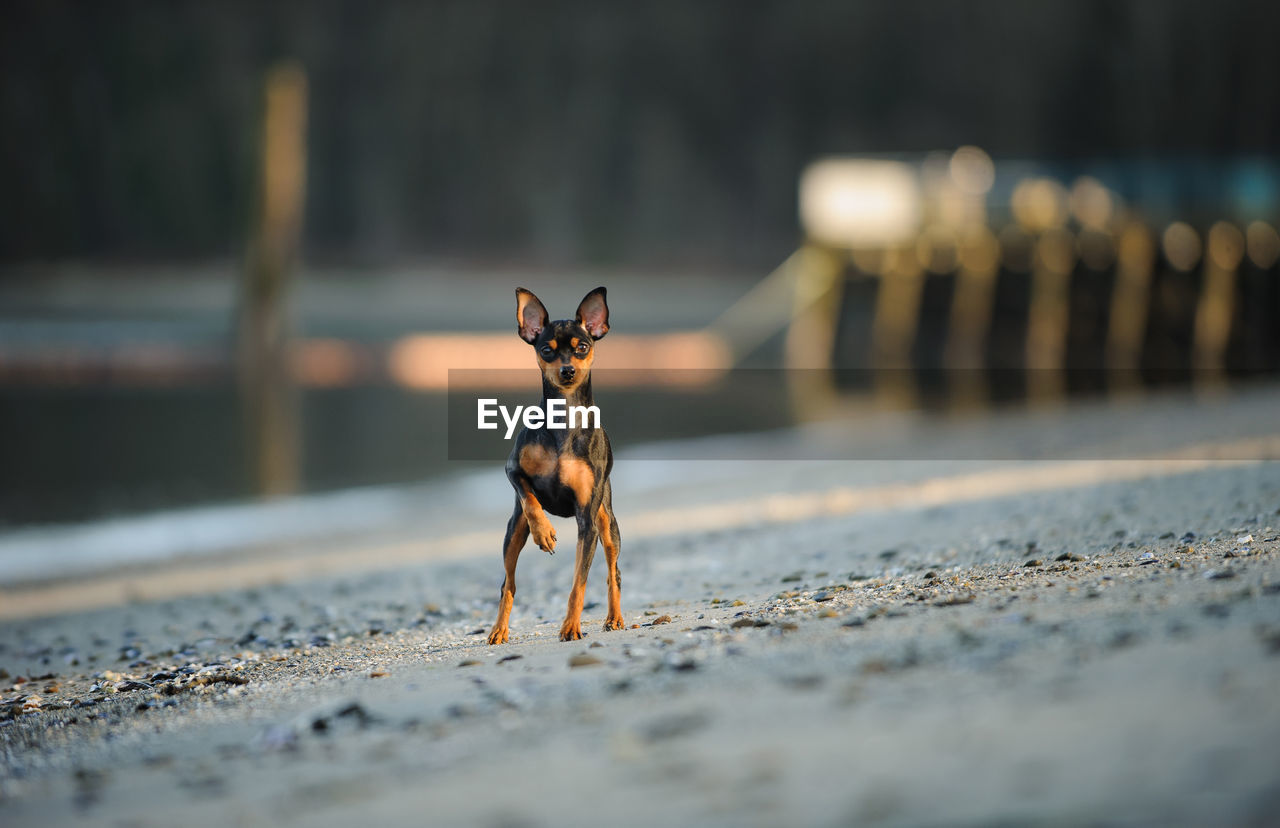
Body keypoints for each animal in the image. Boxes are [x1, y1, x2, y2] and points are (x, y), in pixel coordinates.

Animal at [483, 287, 624, 644]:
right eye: (546, 350)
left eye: (582, 347)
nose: (568, 371)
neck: (564, 418)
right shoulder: (513, 471)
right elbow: (531, 500)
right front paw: (544, 532)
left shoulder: (587, 521)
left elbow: (578, 584)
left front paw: (571, 626)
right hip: (512, 534)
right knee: (508, 583)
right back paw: (499, 629)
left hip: (608, 526)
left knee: (613, 572)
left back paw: (615, 618)